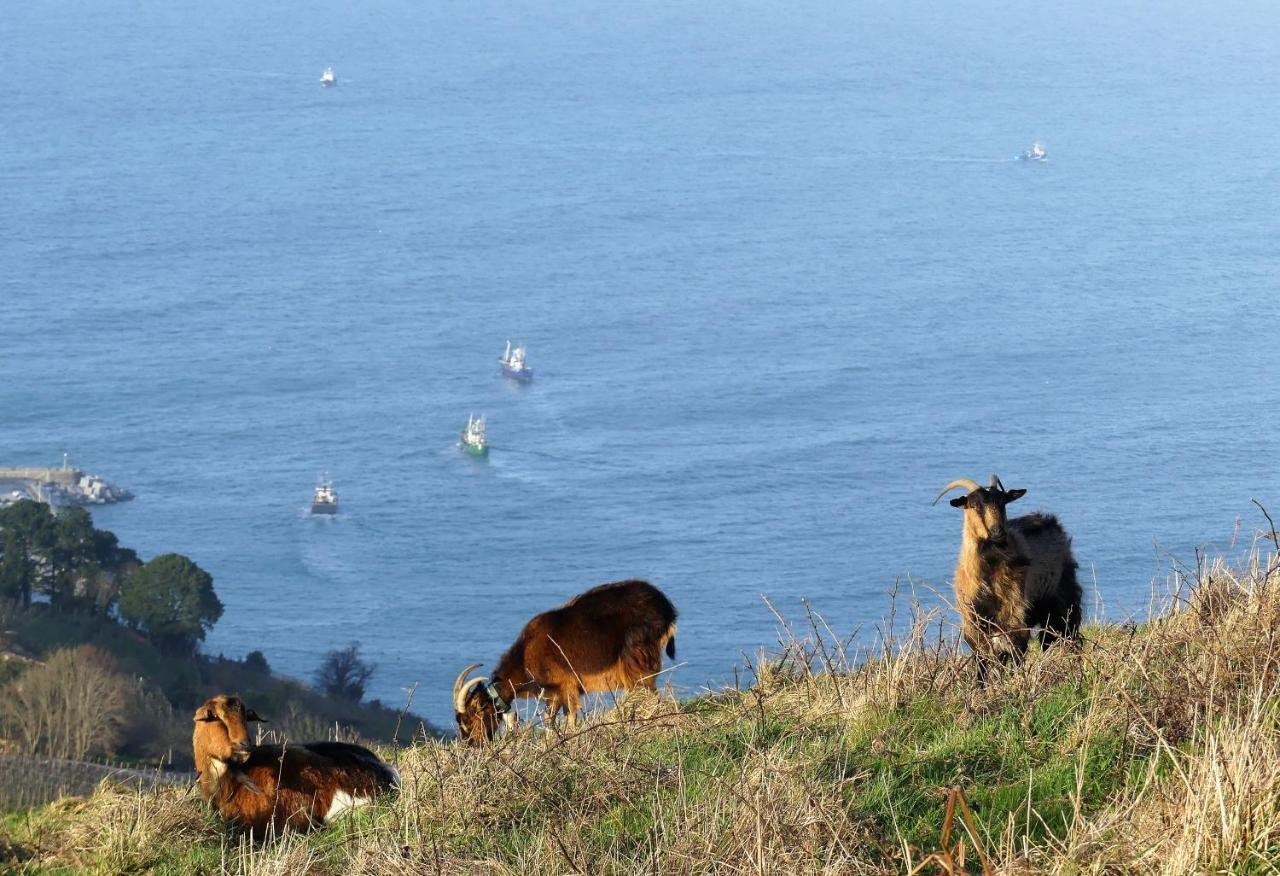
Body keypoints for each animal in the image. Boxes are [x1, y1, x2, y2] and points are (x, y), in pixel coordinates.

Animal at [458, 578, 686, 742]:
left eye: (470, 718)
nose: (473, 745)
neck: (525, 655)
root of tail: (667, 609)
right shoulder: (553, 693)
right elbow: (549, 720)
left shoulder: (565, 687)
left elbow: (569, 717)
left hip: (638, 658)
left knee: (649, 693)